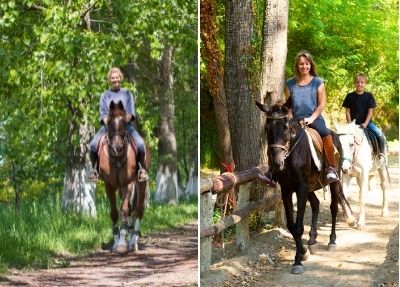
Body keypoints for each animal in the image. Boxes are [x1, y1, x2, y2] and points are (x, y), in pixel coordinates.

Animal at [99, 100, 151, 254]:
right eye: (109, 123)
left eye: (124, 123)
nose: (117, 148)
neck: (117, 158)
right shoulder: (109, 185)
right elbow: (114, 212)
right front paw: (116, 241)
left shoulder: (128, 183)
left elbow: (124, 210)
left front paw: (122, 243)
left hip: (140, 183)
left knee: (138, 210)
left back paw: (133, 242)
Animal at [255, 101, 354, 274]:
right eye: (267, 127)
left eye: (286, 127)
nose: (276, 163)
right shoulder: (287, 189)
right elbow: (291, 225)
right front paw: (303, 252)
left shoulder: (301, 187)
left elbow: (299, 226)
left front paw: (297, 262)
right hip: (310, 187)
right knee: (316, 204)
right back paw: (312, 240)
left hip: (333, 183)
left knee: (334, 208)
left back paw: (332, 241)